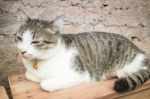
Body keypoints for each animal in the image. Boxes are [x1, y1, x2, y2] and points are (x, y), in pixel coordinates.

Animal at [14, 9, 150, 92]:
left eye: (35, 42)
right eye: (19, 38)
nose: (22, 51)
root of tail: (142, 54)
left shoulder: (80, 73)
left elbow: (45, 83)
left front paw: (44, 80)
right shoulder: (30, 73)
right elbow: (29, 75)